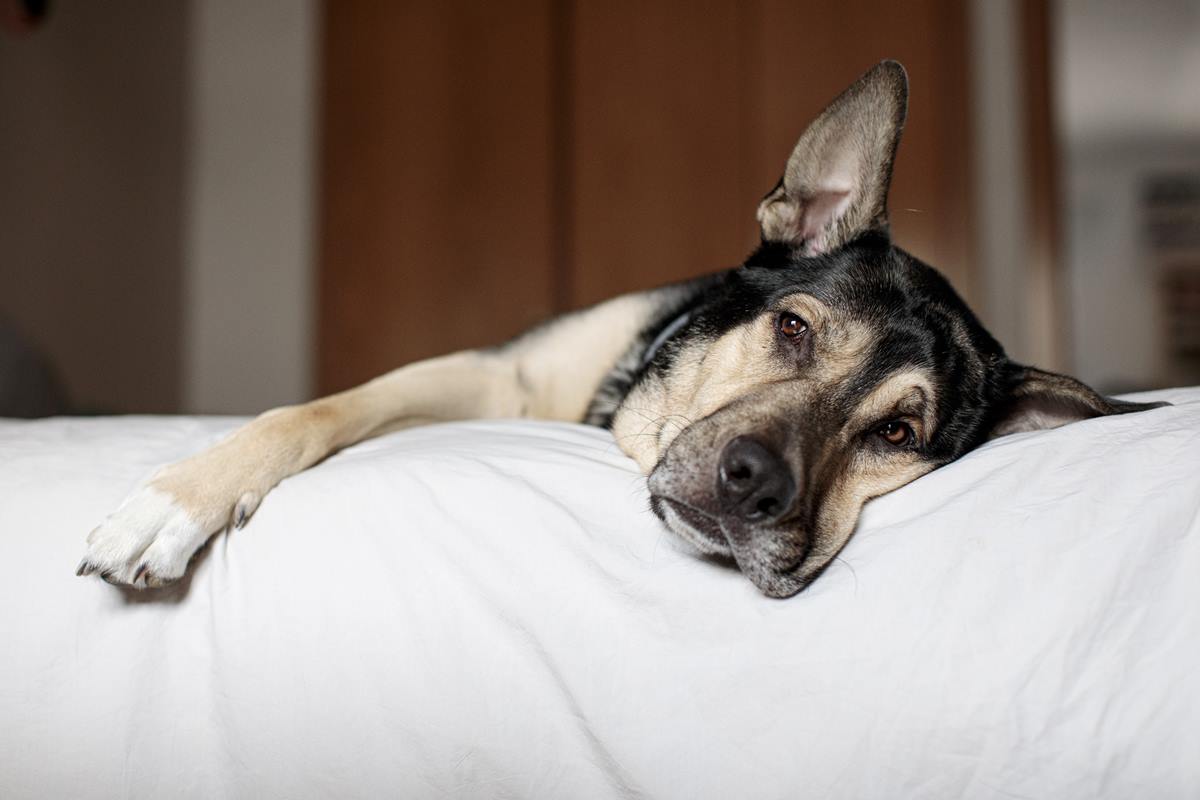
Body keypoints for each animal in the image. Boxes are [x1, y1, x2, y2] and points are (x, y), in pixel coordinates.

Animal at [75, 62, 1161, 597]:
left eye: (898, 432)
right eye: (794, 329)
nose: (754, 487)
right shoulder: (493, 379)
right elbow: (317, 409)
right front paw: (172, 501)